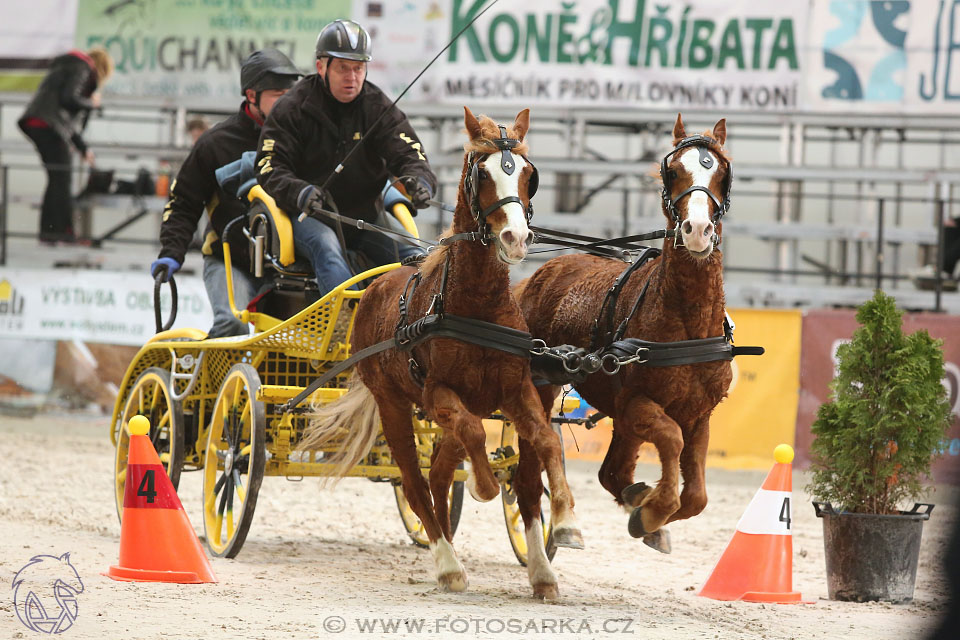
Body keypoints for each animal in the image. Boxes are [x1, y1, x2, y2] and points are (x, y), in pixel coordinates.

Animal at [304, 106, 580, 600]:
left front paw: (562, 531)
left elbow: (545, 442)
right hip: (393, 405)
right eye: (483, 173)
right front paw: (484, 487)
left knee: (438, 474)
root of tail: (372, 288)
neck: (478, 303)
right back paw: (448, 564)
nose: (516, 237)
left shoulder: (516, 390)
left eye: (528, 175)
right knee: (416, 482)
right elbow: (472, 440)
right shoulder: (436, 396)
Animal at [516, 115, 736, 556]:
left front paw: (647, 511)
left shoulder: (699, 413)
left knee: (611, 471)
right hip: (543, 381)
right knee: (541, 452)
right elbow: (670, 442)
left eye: (721, 172)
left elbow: (697, 497)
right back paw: (563, 523)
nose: (698, 230)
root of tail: (541, 273)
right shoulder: (636, 404)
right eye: (673, 172)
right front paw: (651, 510)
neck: (686, 326)